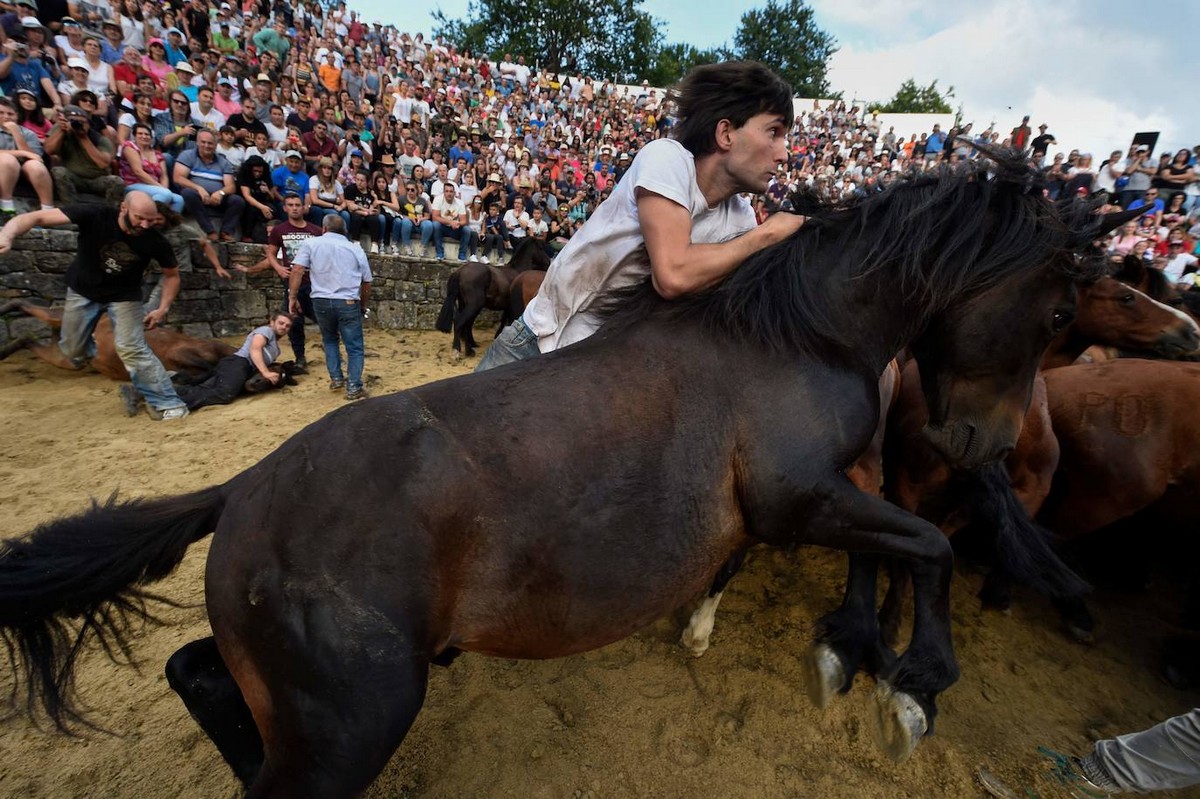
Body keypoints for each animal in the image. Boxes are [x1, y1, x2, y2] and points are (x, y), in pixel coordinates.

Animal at [0, 298, 234, 379]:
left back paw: (4, 352)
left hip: (68, 356)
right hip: (66, 318)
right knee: (24, 305)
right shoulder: (182, 351)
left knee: (27, 339)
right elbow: (208, 368)